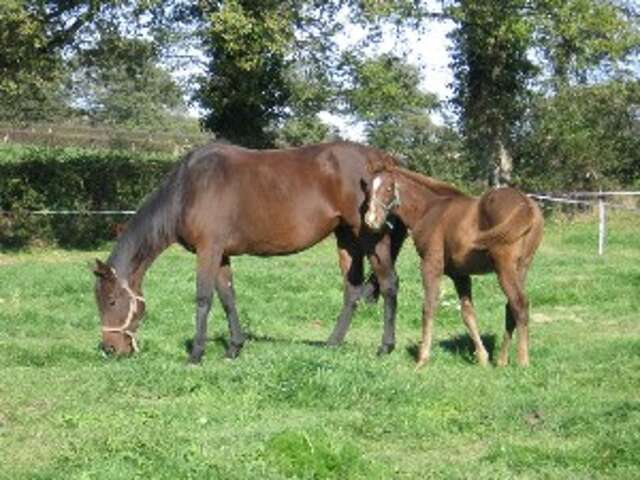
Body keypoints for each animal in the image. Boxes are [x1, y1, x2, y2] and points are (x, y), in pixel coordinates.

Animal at [92, 141, 408, 362]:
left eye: (111, 301)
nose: (110, 348)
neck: (189, 188)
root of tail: (383, 159)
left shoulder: (208, 250)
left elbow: (204, 298)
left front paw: (196, 353)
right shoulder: (221, 254)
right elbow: (227, 297)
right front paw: (234, 347)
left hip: (370, 235)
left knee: (389, 283)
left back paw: (385, 347)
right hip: (345, 238)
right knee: (352, 289)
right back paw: (332, 343)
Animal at [362, 164, 544, 368]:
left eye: (388, 188)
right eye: (368, 189)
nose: (371, 220)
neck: (429, 209)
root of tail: (525, 203)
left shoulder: (430, 265)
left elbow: (429, 307)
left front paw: (422, 359)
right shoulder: (460, 275)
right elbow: (467, 313)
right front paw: (482, 357)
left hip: (504, 268)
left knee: (519, 304)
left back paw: (523, 361)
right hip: (521, 268)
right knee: (511, 307)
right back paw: (502, 360)